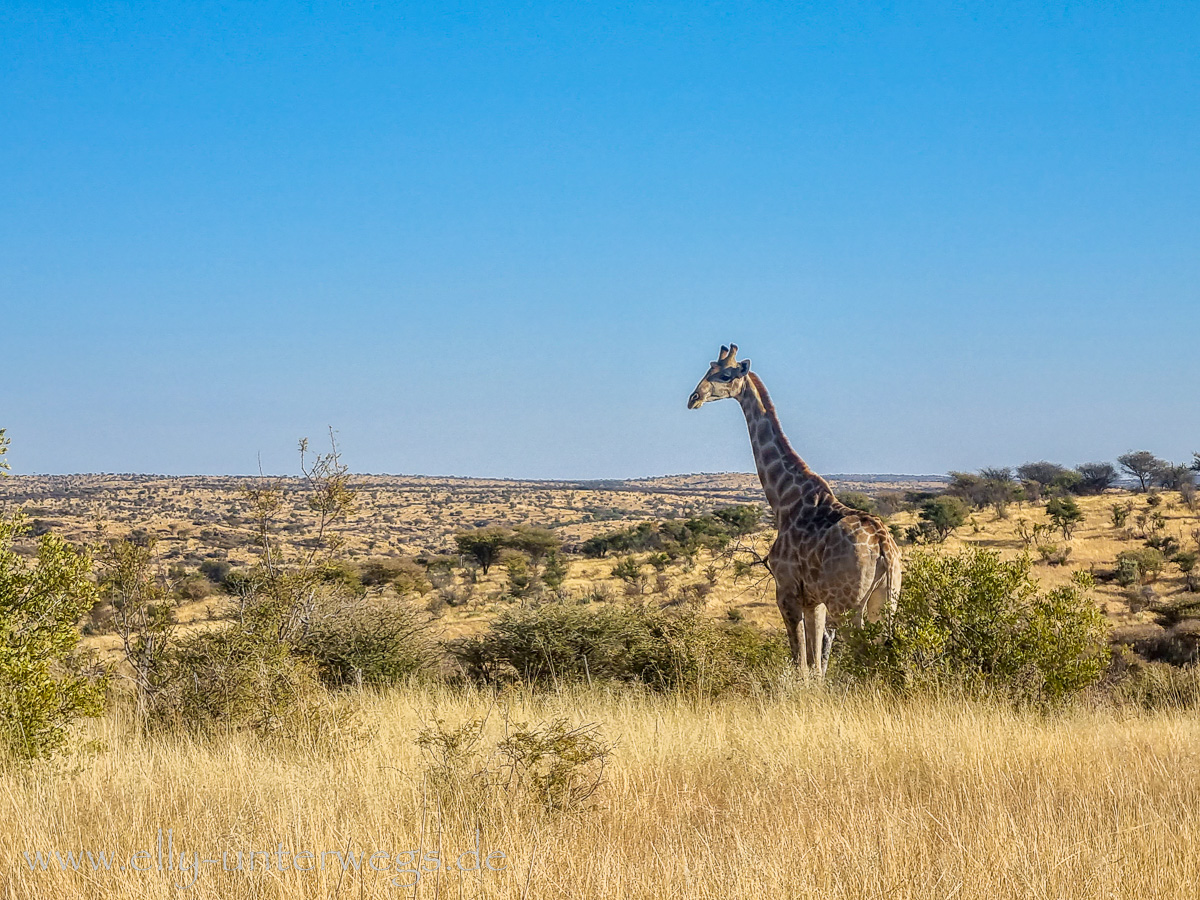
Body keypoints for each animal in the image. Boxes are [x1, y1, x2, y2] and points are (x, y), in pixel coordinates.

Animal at [691, 345, 897, 676]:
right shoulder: (815, 600)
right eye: (708, 369)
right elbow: (816, 664)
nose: (693, 398)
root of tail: (883, 547)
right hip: (886, 598)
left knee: (864, 650)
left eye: (724, 375)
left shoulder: (786, 591)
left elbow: (800, 660)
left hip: (849, 604)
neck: (784, 499)